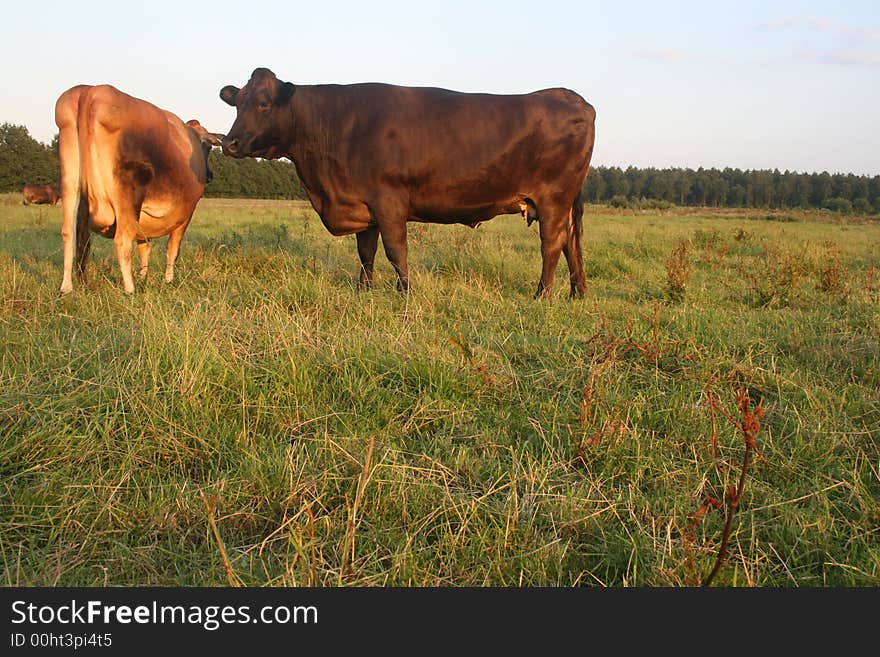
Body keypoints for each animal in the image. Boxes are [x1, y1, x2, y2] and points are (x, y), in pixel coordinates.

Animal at [55, 83, 223, 294]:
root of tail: (91, 91)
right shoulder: (186, 214)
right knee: (122, 240)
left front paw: (144, 276)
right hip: (127, 197)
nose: (210, 175)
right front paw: (168, 280)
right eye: (208, 148)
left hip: (70, 186)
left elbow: (144, 246)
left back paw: (67, 287)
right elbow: (172, 249)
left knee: (70, 234)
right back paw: (130, 289)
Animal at [218, 67, 600, 298]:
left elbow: (395, 250)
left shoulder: (389, 201)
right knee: (570, 242)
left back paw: (541, 294)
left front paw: (404, 293)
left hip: (553, 197)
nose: (230, 142)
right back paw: (576, 293)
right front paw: (364, 291)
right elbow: (366, 253)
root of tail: (573, 98)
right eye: (237, 103)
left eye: (264, 103)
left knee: (552, 244)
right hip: (563, 201)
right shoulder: (364, 205)